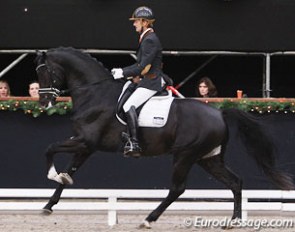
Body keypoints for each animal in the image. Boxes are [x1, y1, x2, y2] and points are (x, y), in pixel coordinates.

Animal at [35, 47, 294, 228]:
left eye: (45, 72)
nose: (44, 102)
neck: (95, 92)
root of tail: (220, 113)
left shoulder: (86, 141)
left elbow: (49, 148)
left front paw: (52, 175)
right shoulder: (86, 146)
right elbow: (68, 172)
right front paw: (48, 205)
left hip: (185, 155)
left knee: (178, 189)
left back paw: (149, 219)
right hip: (208, 158)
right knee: (235, 182)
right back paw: (234, 222)